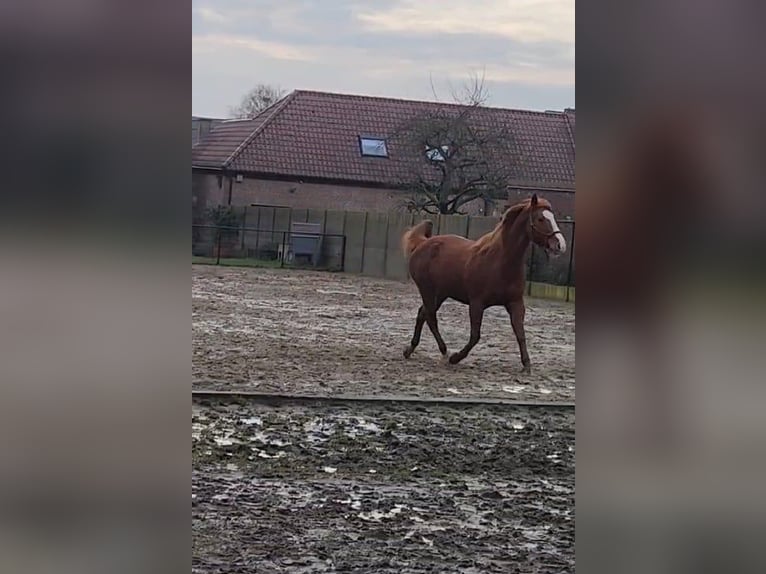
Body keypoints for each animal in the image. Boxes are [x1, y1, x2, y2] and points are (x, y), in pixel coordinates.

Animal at [401, 194, 567, 372]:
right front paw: (455, 358)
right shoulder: (476, 303)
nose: (560, 245)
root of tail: (422, 244)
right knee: (431, 318)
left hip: (440, 294)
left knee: (423, 313)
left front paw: (526, 365)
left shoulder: (515, 303)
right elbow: (475, 336)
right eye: (541, 218)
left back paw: (410, 349)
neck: (500, 261)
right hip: (427, 290)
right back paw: (444, 353)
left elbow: (520, 333)